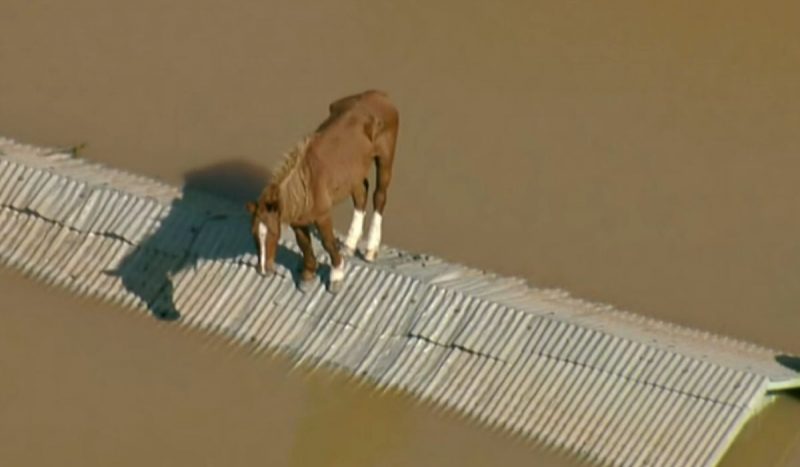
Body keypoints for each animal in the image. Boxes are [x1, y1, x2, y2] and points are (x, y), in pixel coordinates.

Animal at [246, 90, 399, 293]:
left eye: (272, 232)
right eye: (254, 234)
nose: (263, 270)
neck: (306, 183)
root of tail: (381, 96)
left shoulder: (322, 215)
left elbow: (327, 242)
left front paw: (336, 276)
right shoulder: (298, 220)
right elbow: (304, 243)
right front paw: (308, 275)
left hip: (385, 157)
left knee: (379, 195)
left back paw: (371, 250)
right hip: (354, 172)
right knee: (361, 193)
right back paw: (349, 245)